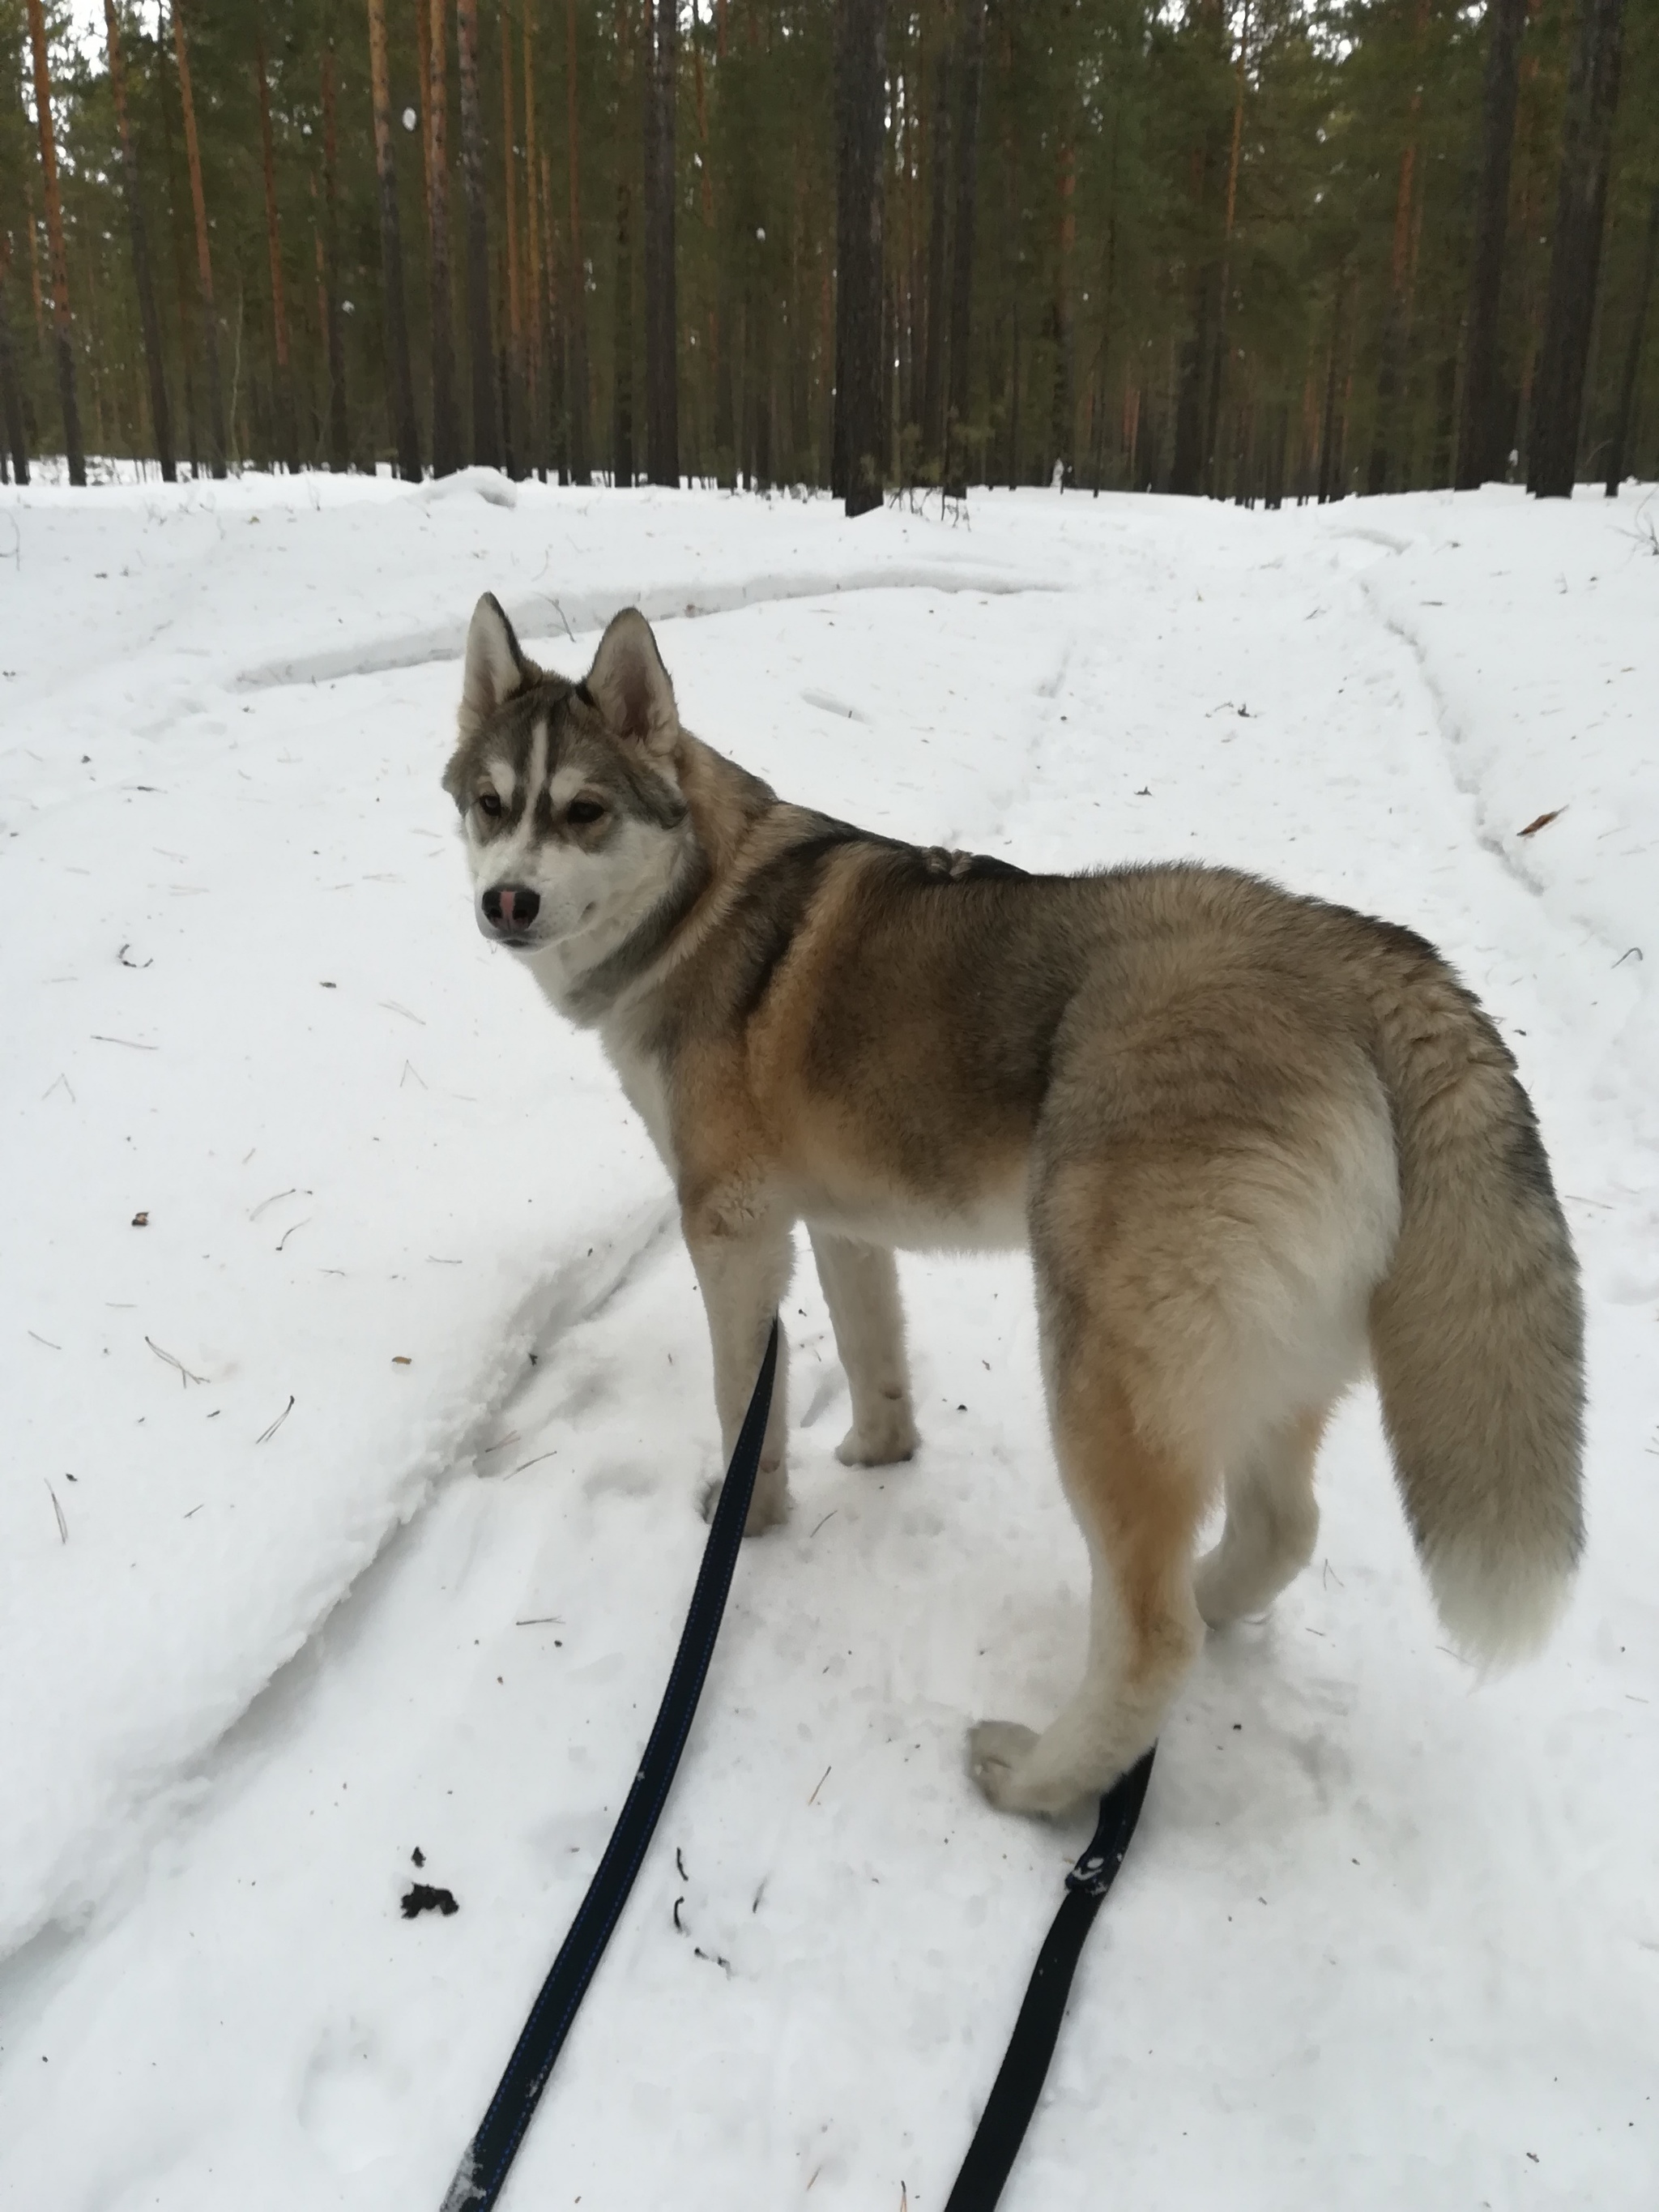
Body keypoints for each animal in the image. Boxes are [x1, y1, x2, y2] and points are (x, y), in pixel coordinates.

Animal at [442, 601, 1584, 1813]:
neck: (702, 898)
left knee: (1151, 1634)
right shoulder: (843, 1222)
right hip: (1262, 1360)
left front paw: (753, 1516)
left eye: (584, 812)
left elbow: (744, 1396)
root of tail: (1365, 954)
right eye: (491, 804)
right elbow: (875, 1355)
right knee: (1278, 1532)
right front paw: (880, 1452)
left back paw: (1041, 1779)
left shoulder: (731, 1227)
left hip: (1102, 1361)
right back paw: (1209, 1606)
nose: (505, 901)